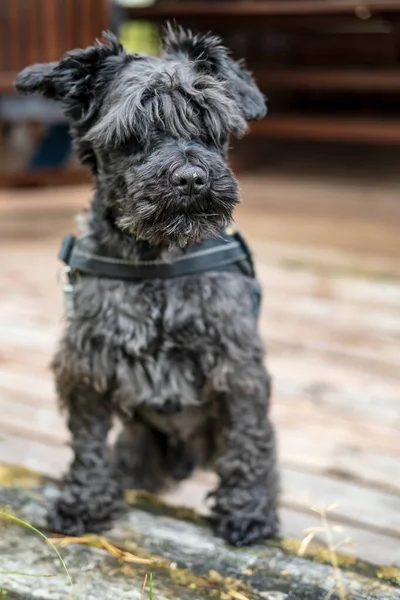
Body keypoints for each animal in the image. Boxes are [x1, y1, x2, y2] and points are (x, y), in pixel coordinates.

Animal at [15, 27, 278, 544]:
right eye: (133, 132)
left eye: (209, 123)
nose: (192, 179)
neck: (155, 260)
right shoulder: (87, 368)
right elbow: (89, 445)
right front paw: (85, 503)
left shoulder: (236, 366)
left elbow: (247, 440)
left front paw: (248, 513)